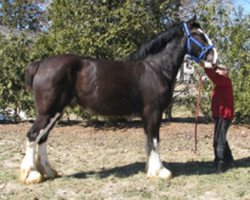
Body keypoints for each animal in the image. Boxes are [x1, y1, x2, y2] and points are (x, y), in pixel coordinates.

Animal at [19, 16, 217, 184]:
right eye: (199, 35)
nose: (214, 58)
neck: (155, 68)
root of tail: (40, 64)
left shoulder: (147, 115)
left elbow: (148, 141)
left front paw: (150, 169)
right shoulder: (154, 112)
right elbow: (154, 140)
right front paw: (160, 171)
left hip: (56, 113)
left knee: (43, 138)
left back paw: (48, 172)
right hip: (47, 112)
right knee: (33, 135)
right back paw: (31, 175)